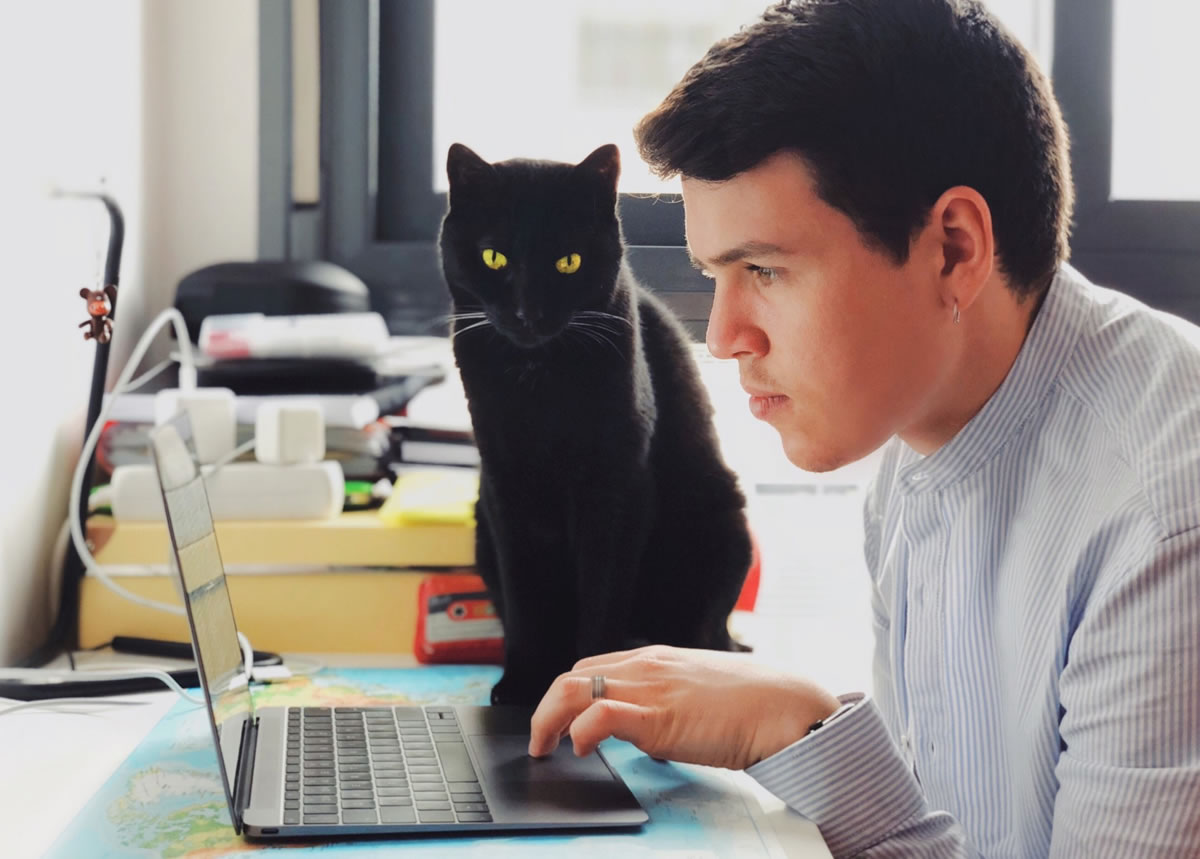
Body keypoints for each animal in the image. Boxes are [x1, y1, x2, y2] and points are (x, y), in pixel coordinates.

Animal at [439, 140, 748, 705]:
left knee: (706, 634)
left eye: (568, 262)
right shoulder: (505, 489)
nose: (528, 313)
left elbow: (603, 592)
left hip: (723, 521)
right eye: (494, 257)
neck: (539, 380)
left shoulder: (615, 485)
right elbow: (524, 598)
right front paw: (521, 682)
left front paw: (587, 675)